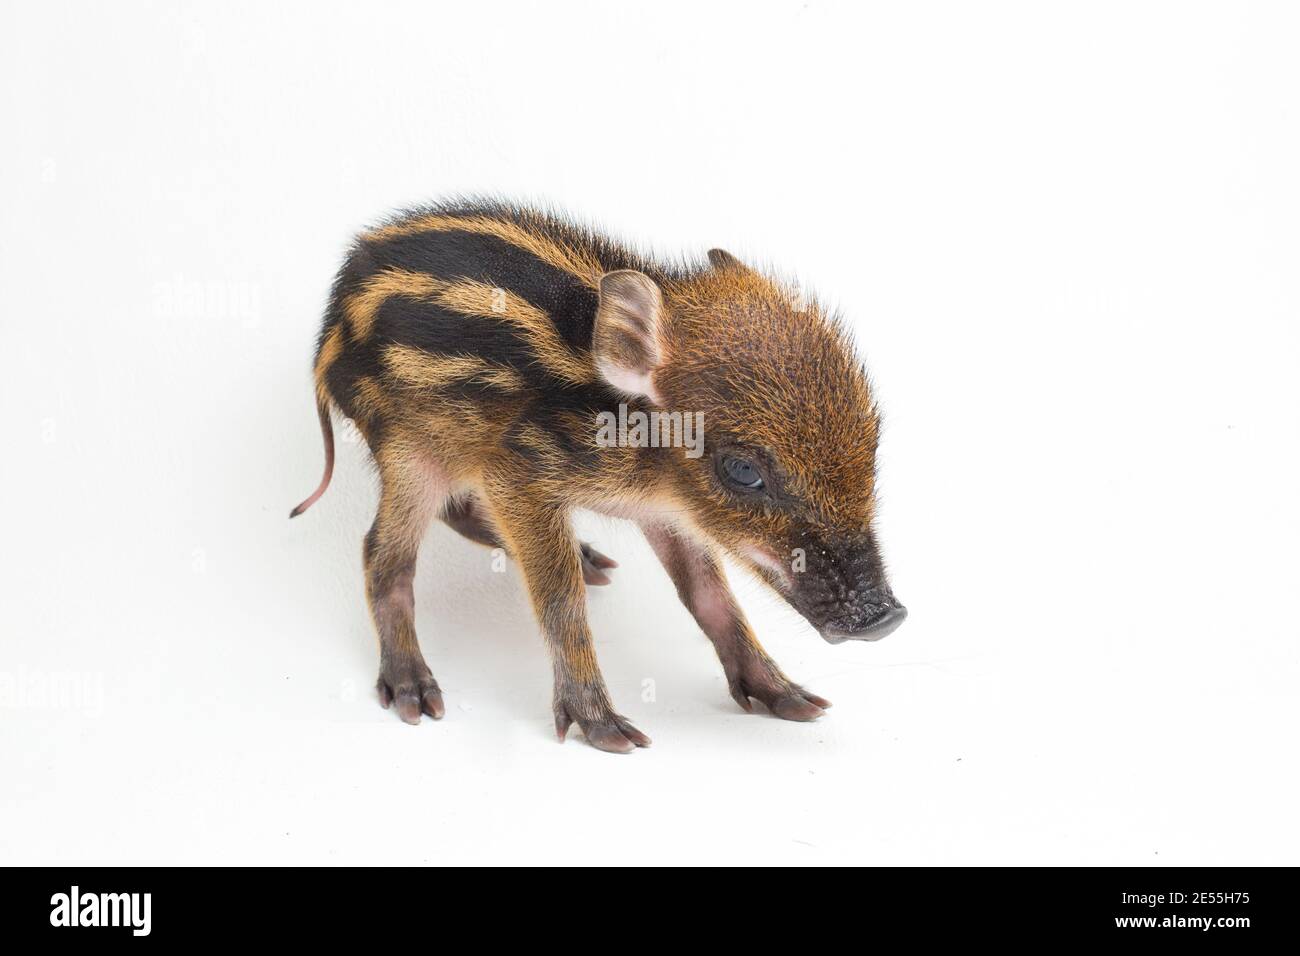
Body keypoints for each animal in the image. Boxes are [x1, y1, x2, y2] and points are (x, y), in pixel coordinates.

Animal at [291, 199, 905, 753]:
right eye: (743, 471)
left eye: (874, 439)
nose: (885, 618)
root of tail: (326, 337)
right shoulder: (520, 470)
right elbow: (561, 601)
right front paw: (605, 728)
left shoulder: (667, 514)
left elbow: (711, 597)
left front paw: (791, 699)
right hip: (409, 450)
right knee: (383, 554)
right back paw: (413, 692)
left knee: (456, 511)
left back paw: (590, 560)